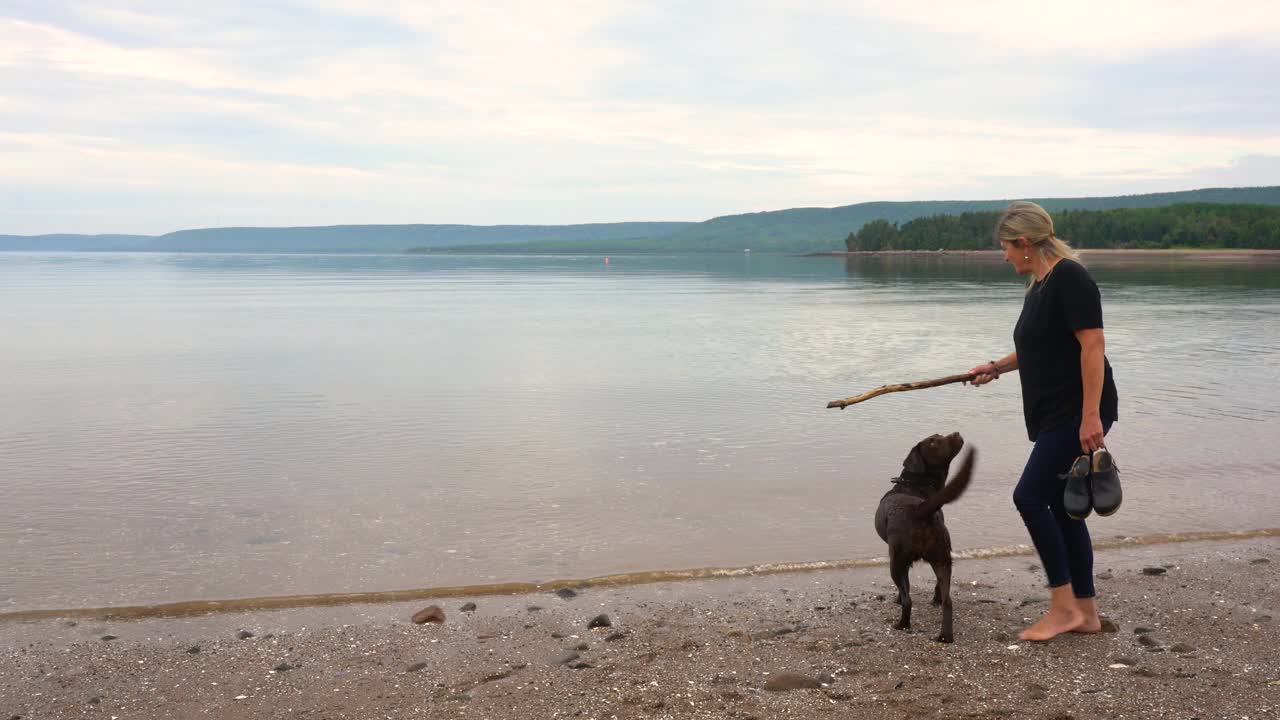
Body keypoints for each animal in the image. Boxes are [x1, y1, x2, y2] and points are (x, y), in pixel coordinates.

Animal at [875, 427, 972, 640]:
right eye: (934, 441)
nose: (956, 433)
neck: (916, 486)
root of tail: (921, 510)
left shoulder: (900, 562)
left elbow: (904, 590)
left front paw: (897, 599)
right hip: (942, 557)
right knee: (947, 600)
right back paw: (945, 636)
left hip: (896, 561)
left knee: (908, 601)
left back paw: (902, 625)